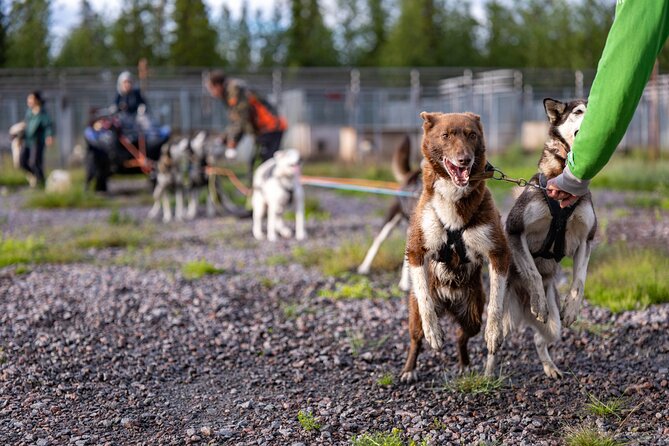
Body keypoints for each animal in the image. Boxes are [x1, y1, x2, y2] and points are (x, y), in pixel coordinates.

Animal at [400, 113, 508, 382]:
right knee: (415, 338)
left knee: (462, 336)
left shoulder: (498, 252)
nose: (464, 159)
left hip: (472, 313)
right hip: (415, 315)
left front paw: (494, 333)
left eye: (472, 135)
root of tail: (449, 303)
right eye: (446, 135)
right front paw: (434, 332)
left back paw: (465, 364)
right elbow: (424, 298)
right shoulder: (416, 249)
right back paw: (409, 369)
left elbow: (497, 302)